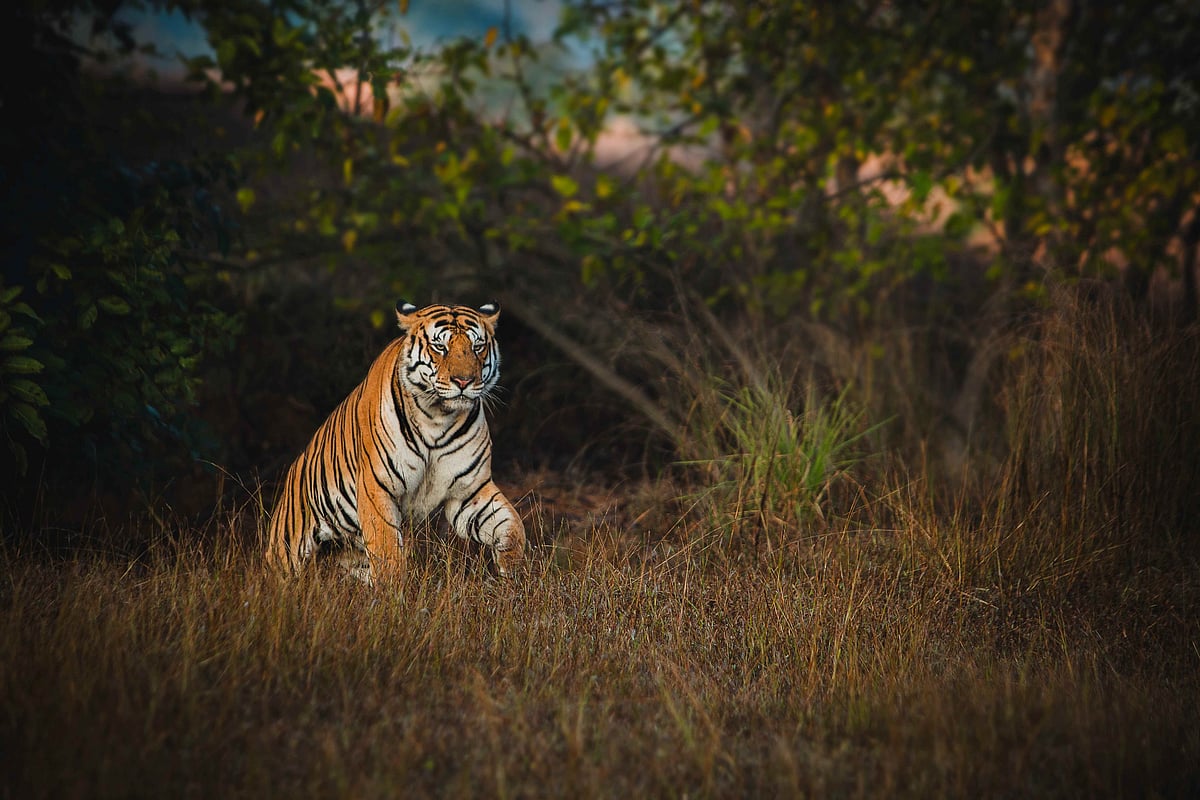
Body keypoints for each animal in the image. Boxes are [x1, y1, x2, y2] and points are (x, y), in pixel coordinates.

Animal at [265, 300, 526, 584]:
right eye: (440, 347)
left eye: (477, 347)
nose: (464, 381)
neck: (438, 418)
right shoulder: (377, 487)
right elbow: (387, 549)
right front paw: (393, 592)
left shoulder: (468, 493)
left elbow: (512, 526)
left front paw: (512, 572)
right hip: (287, 549)